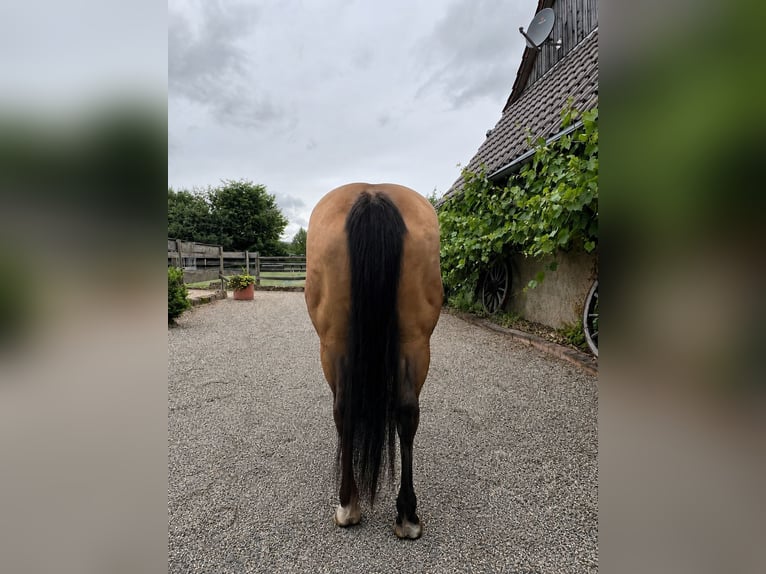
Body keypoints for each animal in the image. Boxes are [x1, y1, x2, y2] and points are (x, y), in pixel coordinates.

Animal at [304, 183, 442, 539]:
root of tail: (372, 194)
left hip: (332, 345)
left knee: (344, 410)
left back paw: (348, 504)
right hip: (415, 341)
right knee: (407, 412)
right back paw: (407, 515)